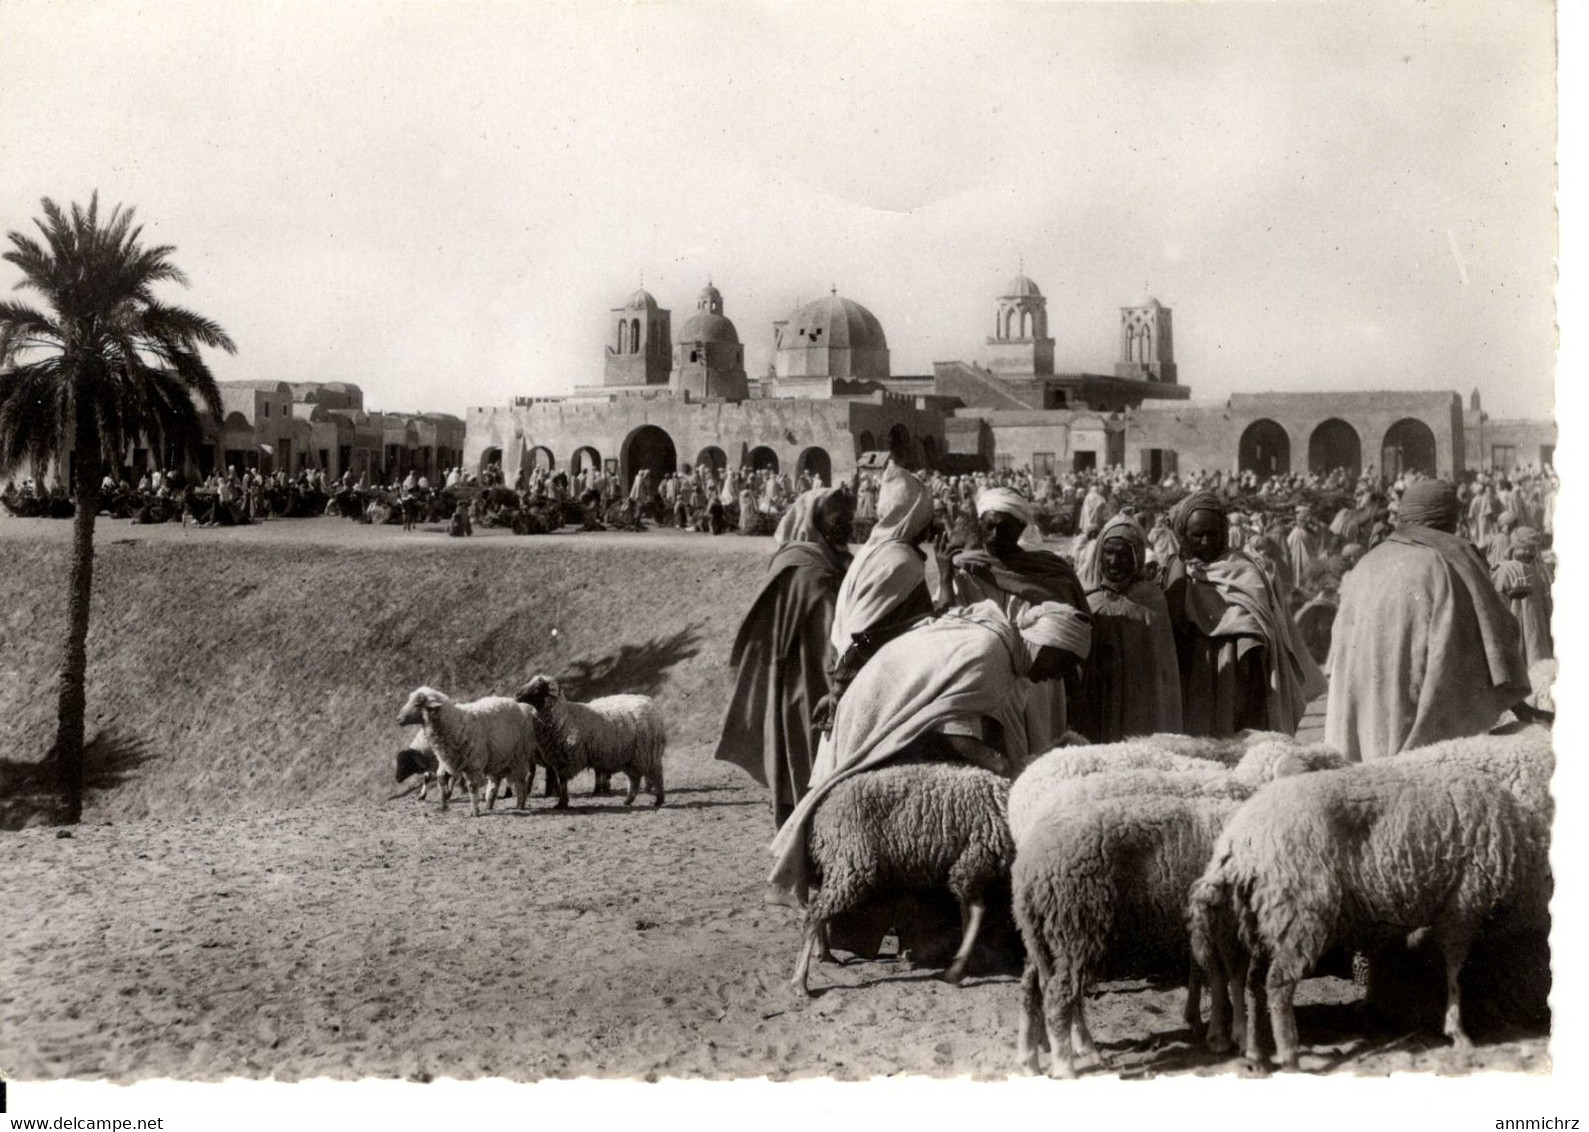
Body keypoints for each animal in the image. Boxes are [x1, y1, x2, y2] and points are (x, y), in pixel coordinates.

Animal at [392, 686, 537, 820]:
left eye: (417, 705)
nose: (398, 719)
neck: (454, 722)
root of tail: (518, 705)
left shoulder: (473, 764)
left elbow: (472, 787)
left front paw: (474, 811)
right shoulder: (452, 762)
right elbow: (444, 780)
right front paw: (446, 805)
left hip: (518, 757)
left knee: (520, 780)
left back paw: (520, 804)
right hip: (497, 758)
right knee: (495, 783)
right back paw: (489, 805)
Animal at [511, 670, 661, 804]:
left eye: (537, 688)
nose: (516, 695)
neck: (563, 717)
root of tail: (647, 701)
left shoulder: (569, 758)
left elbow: (562, 780)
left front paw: (561, 802)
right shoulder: (558, 758)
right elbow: (559, 779)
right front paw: (561, 800)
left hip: (645, 752)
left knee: (654, 774)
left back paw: (656, 798)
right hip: (633, 755)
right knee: (635, 777)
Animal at [788, 759, 1010, 992]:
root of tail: (821, 812)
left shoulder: (968, 867)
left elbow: (968, 913)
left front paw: (965, 963)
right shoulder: (970, 864)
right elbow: (976, 912)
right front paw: (957, 970)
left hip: (840, 864)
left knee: (817, 905)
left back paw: (824, 953)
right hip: (851, 862)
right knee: (814, 913)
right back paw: (800, 981)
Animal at [1194, 759, 1538, 1068]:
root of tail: (1239, 841)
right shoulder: (1463, 905)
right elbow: (1455, 974)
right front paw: (1458, 1031)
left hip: (1262, 915)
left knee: (1253, 985)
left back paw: (1255, 1054)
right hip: (1298, 911)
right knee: (1278, 984)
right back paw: (1289, 1054)